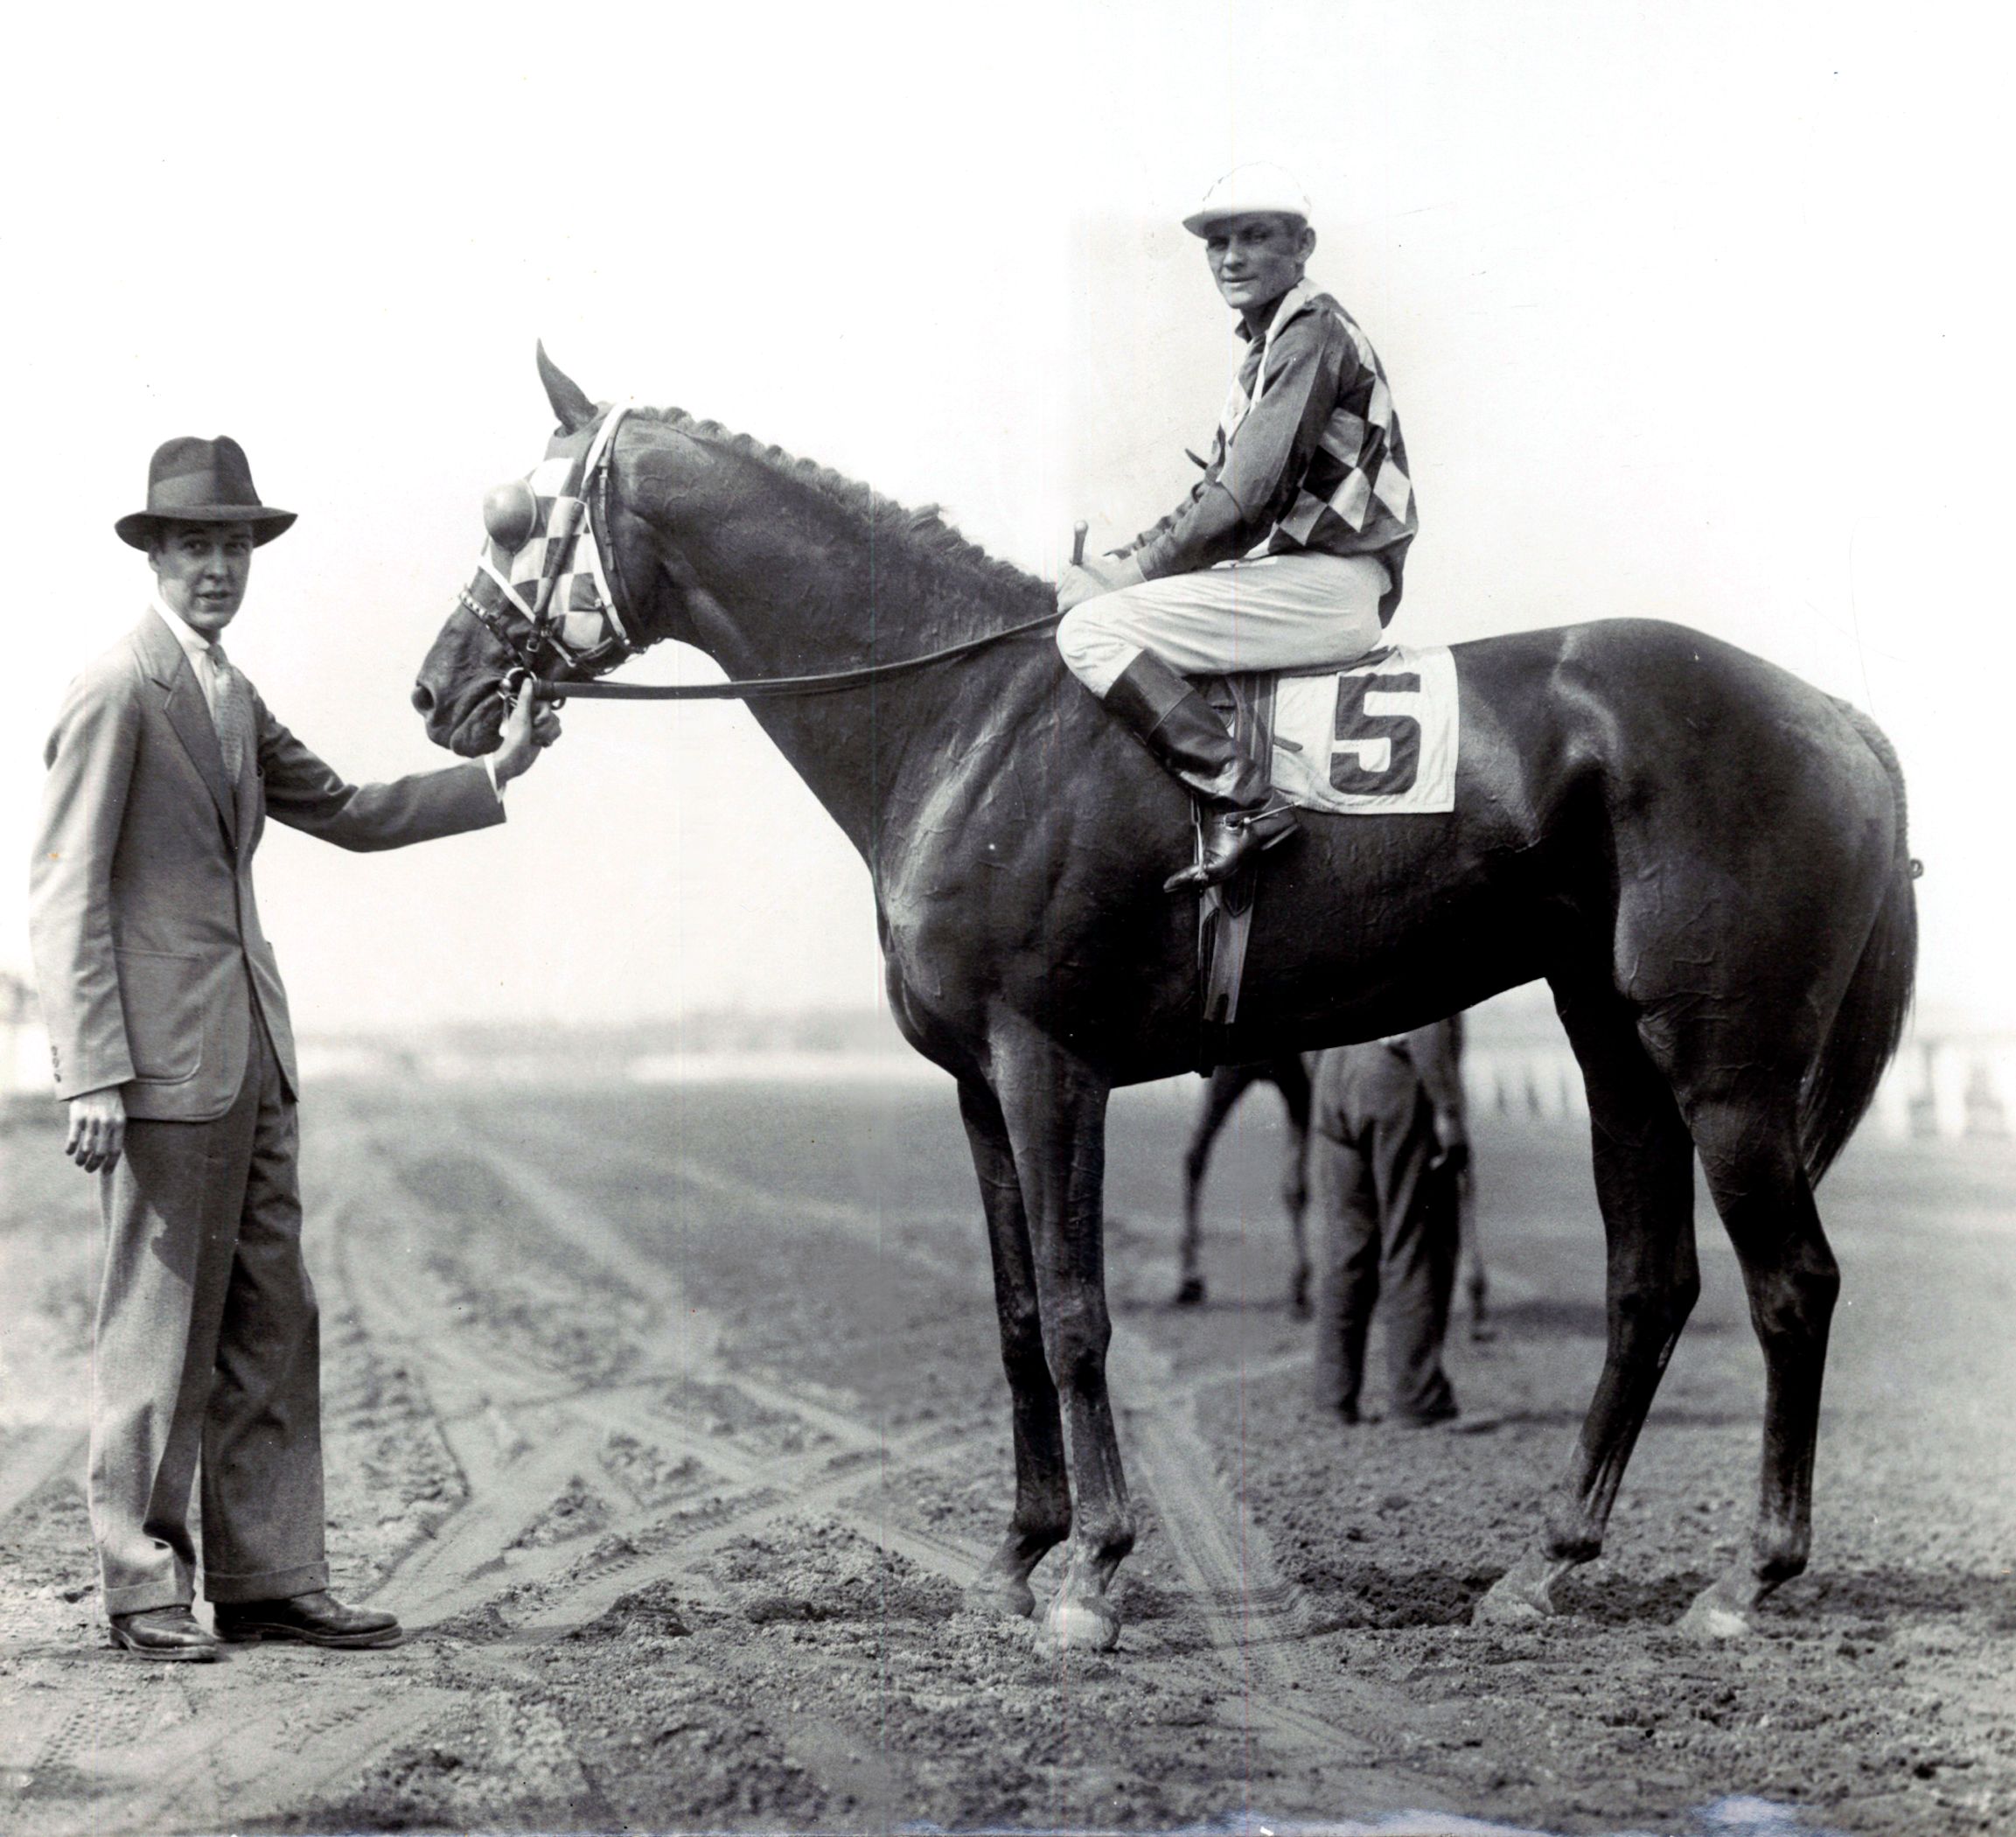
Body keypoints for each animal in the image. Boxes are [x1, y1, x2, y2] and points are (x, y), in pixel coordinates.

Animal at [413, 354, 1919, 1653]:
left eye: (513, 514)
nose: (438, 689)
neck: (966, 716)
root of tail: (1836, 717)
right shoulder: (976, 1087)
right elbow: (1019, 1317)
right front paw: (1013, 1560)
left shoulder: (1046, 1063)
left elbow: (1081, 1313)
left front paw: (1092, 1574)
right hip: (1615, 1044)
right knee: (1649, 1286)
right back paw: (1544, 1567)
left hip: (1726, 1068)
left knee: (1792, 1285)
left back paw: (1745, 1579)